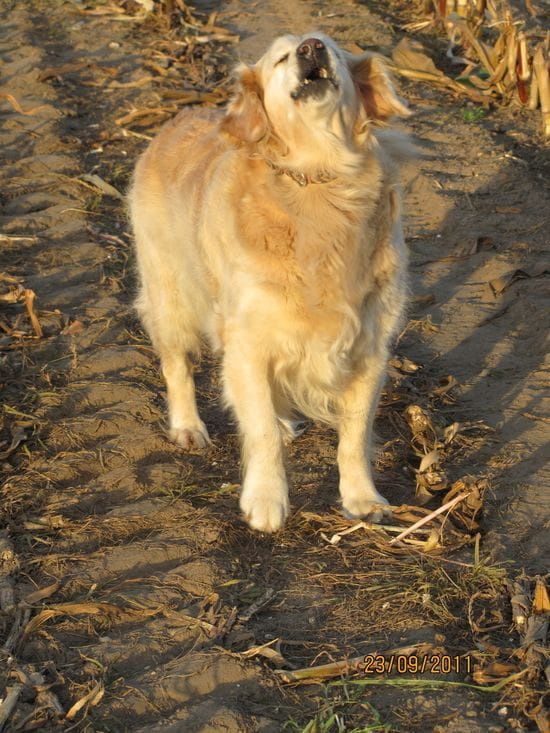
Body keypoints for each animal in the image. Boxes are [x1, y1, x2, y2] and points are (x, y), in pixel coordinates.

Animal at [130, 31, 414, 532]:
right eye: (281, 57)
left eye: (334, 49)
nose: (312, 47)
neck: (319, 179)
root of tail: (176, 118)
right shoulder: (248, 339)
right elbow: (259, 430)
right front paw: (265, 500)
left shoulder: (370, 347)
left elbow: (354, 434)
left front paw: (362, 499)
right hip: (170, 293)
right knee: (177, 365)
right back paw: (187, 427)